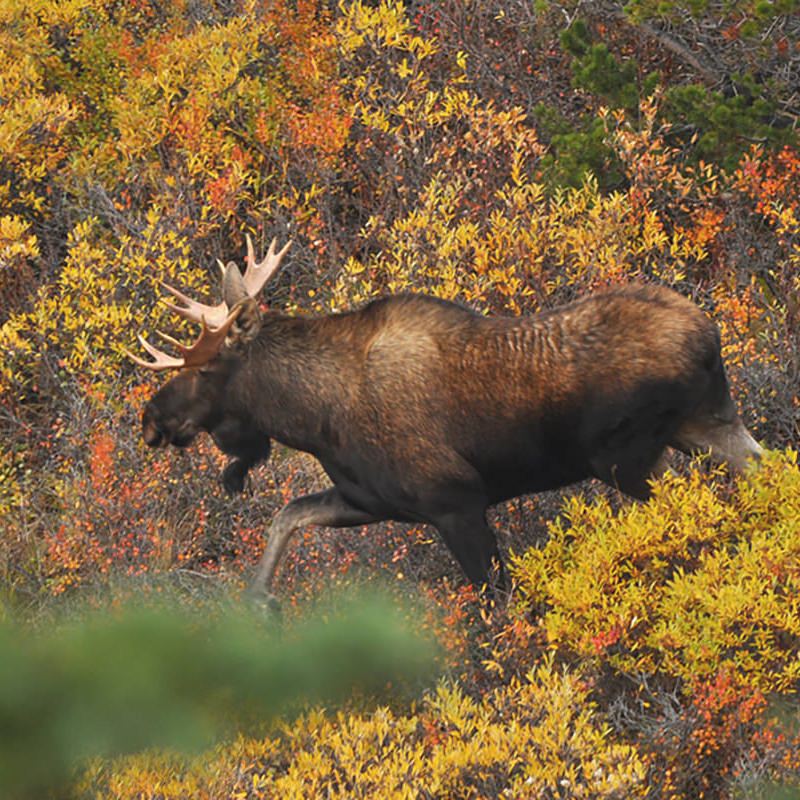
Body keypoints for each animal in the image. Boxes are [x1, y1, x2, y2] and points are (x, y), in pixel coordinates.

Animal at [130, 241, 764, 596]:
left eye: (207, 366)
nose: (150, 419)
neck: (311, 418)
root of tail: (707, 333)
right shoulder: (371, 499)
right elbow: (287, 516)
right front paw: (261, 601)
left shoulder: (455, 501)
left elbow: (498, 603)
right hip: (710, 423)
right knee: (764, 469)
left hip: (627, 457)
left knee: (692, 504)